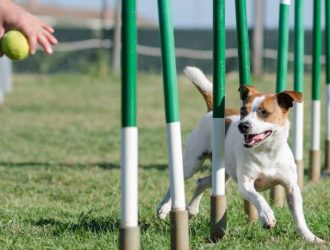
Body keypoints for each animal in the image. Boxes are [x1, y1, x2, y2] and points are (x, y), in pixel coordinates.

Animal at [158, 66, 324, 242]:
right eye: (243, 110)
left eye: (264, 113)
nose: (243, 125)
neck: (266, 152)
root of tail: (212, 111)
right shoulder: (246, 184)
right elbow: (258, 198)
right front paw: (267, 216)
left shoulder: (291, 187)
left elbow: (299, 215)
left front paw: (311, 237)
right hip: (193, 162)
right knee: (177, 181)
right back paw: (164, 208)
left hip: (223, 173)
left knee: (201, 182)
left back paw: (191, 209)